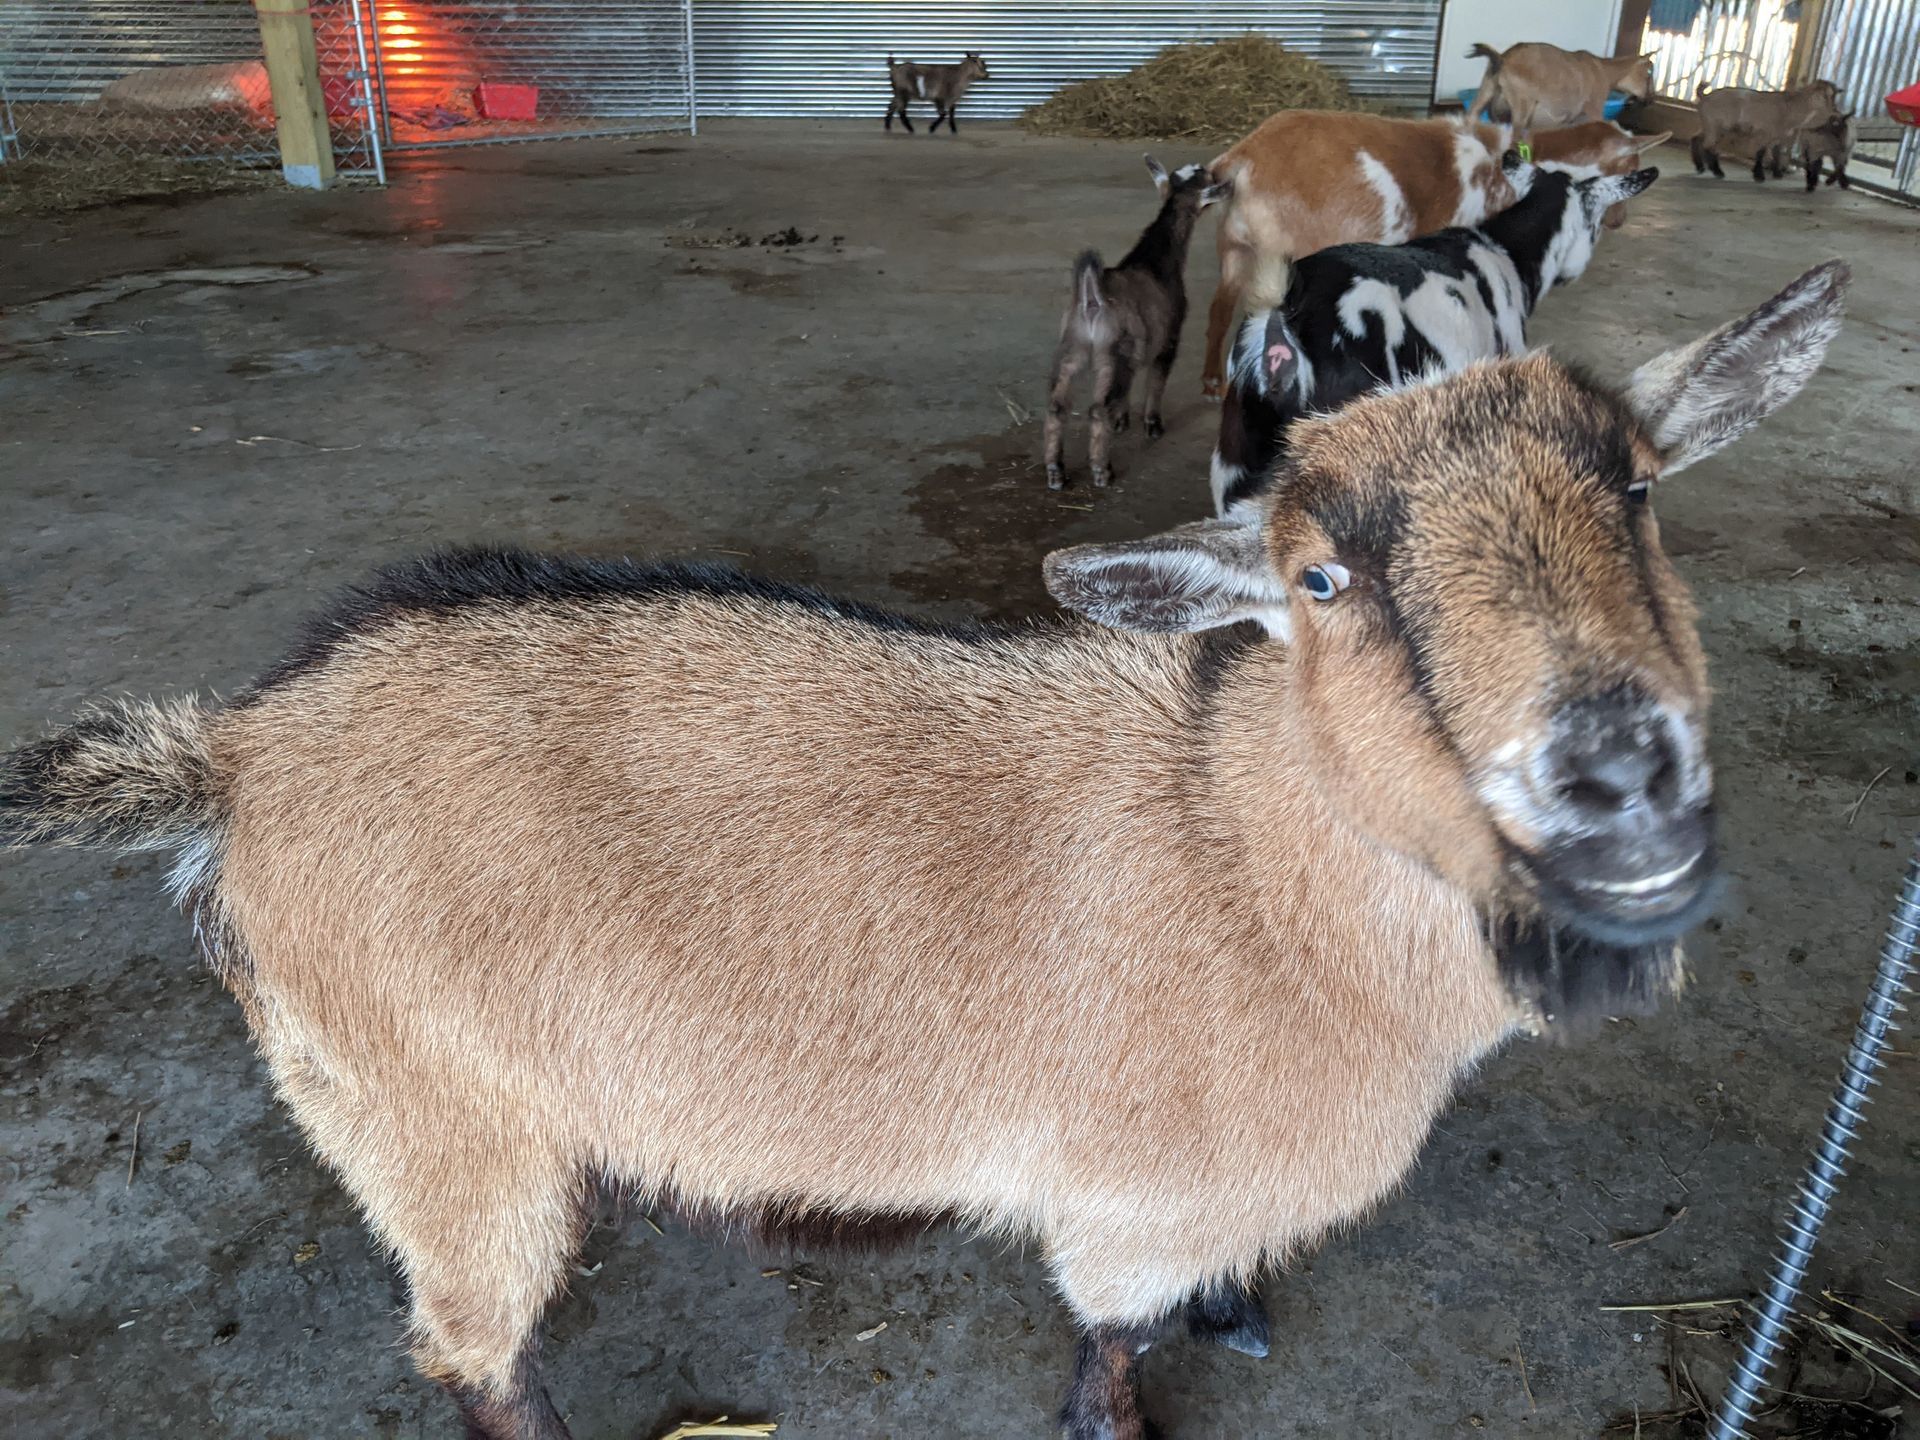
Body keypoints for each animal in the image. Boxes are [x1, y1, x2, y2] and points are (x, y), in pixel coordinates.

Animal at [0, 260, 1847, 1440]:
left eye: (1640, 490)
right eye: (1322, 580)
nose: (1615, 769)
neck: (1244, 852)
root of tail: (242, 750)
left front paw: (1239, 1312)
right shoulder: (1128, 1205)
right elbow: (1111, 1354)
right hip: (430, 1123)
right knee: (473, 1359)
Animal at [1044, 156, 1227, 489]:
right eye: (1205, 176)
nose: (1209, 168)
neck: (1155, 262)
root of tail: (1091, 299)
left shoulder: (1135, 350)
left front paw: (1122, 420)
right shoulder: (1169, 335)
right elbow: (1157, 380)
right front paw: (1152, 424)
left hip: (1071, 347)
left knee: (1057, 406)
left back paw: (1055, 470)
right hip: (1110, 353)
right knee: (1096, 409)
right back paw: (1102, 470)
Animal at [1199, 112, 1666, 396]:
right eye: (1630, 163)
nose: (1620, 220)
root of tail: (1240, 160)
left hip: (1234, 248)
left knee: (1219, 309)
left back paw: (1212, 383)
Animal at [1464, 42, 1655, 139]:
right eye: (1649, 72)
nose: (1650, 99)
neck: (1604, 71)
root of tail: (1502, 59)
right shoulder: (1594, 108)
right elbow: (1610, 124)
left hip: (1486, 88)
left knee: (1471, 118)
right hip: (1522, 105)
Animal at [1692, 80, 1843, 181]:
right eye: (1826, 96)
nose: (1835, 111)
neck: (1791, 108)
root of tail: (1705, 96)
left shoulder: (1779, 136)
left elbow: (1776, 152)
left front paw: (1776, 173)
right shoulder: (1766, 132)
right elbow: (1761, 152)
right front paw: (1759, 175)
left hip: (1708, 125)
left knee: (1696, 139)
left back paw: (1700, 167)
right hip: (1715, 125)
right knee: (1708, 146)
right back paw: (1717, 172)